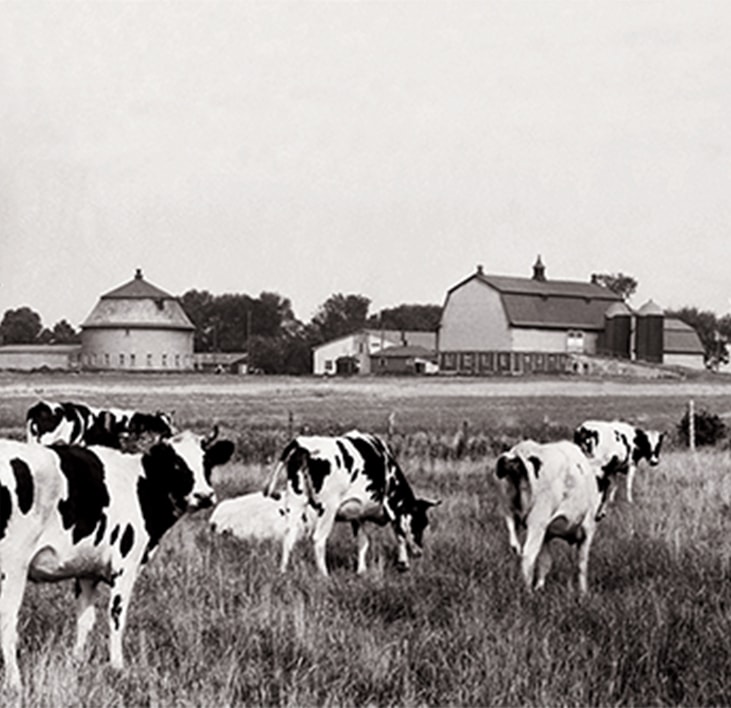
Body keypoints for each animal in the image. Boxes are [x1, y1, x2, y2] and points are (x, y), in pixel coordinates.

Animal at [0, 428, 233, 688]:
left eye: (207, 462)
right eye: (176, 464)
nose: (204, 495)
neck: (142, 486)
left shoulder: (86, 570)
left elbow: (85, 619)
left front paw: (77, 662)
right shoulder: (126, 565)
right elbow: (116, 616)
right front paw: (117, 667)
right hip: (12, 566)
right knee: (7, 621)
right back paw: (15, 682)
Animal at [264, 432, 440, 576]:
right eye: (421, 523)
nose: (419, 552)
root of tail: (302, 443)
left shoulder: (358, 514)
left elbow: (364, 541)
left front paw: (361, 570)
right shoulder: (391, 508)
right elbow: (400, 534)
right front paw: (403, 564)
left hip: (296, 500)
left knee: (289, 535)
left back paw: (283, 571)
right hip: (328, 508)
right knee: (318, 538)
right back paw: (324, 575)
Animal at [494, 440, 604, 596]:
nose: (602, 514)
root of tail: (521, 450)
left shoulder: (546, 534)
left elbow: (545, 562)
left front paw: (540, 587)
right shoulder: (588, 528)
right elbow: (582, 564)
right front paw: (584, 593)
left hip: (508, 509)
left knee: (515, 544)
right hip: (537, 521)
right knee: (528, 555)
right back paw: (527, 592)